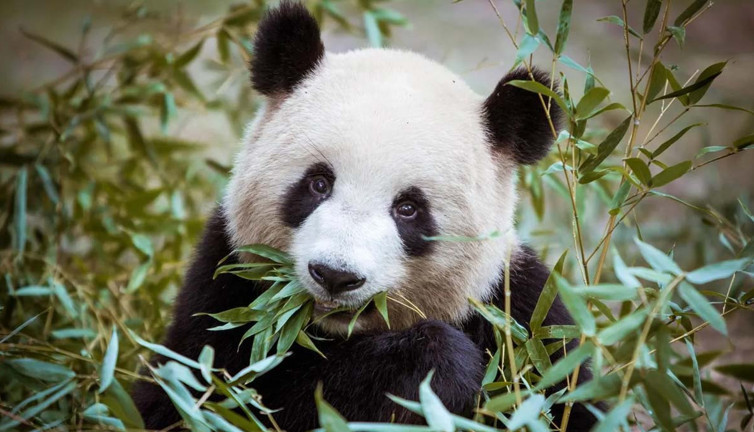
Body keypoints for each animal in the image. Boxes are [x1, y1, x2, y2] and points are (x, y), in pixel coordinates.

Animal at [132, 2, 599, 431]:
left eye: (408, 208)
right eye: (319, 183)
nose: (335, 275)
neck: (336, 332)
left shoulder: (523, 317)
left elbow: (567, 400)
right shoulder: (225, 287)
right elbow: (209, 396)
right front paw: (437, 366)